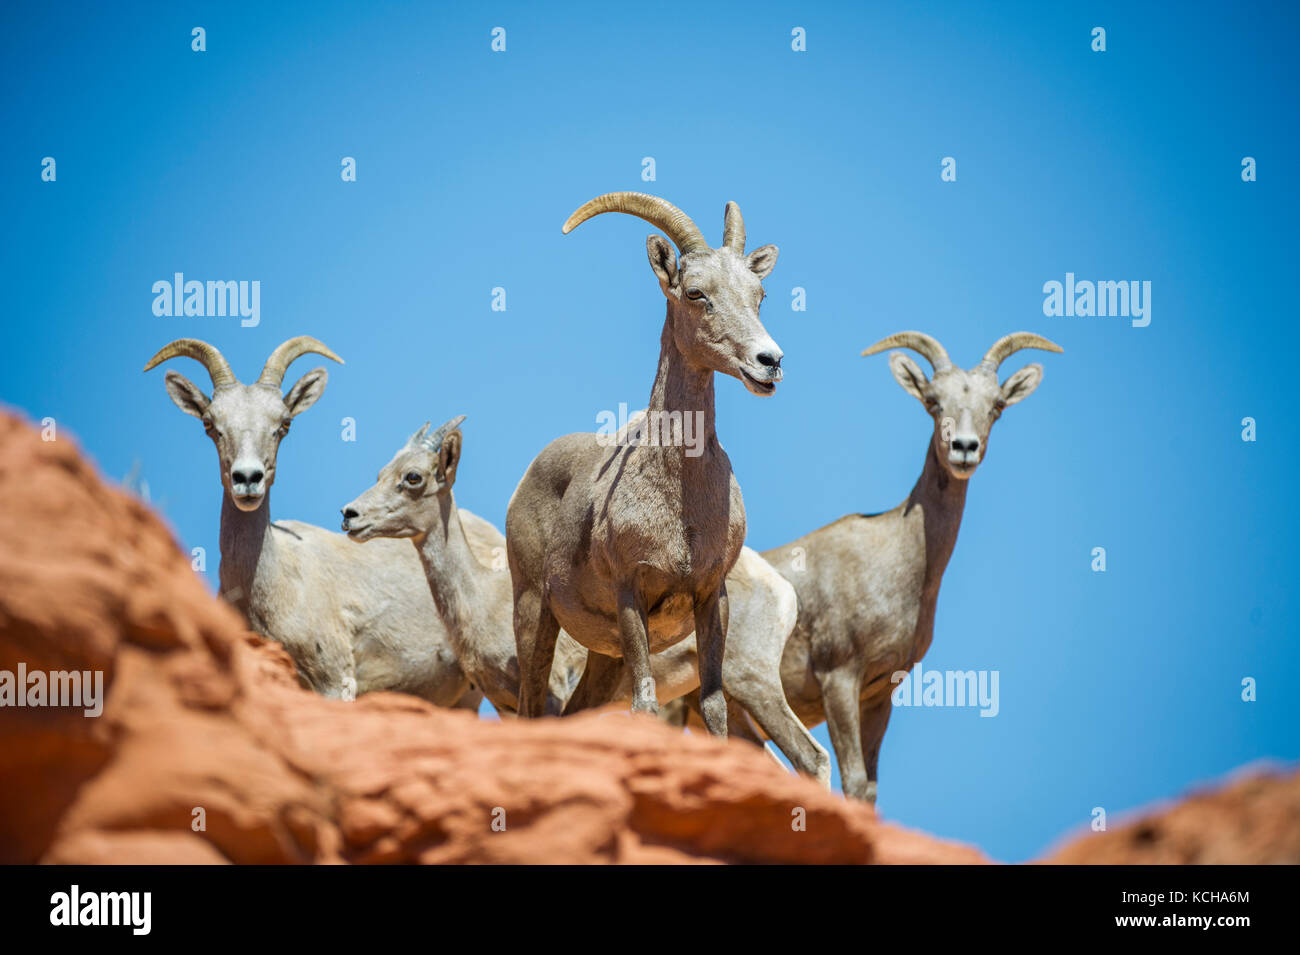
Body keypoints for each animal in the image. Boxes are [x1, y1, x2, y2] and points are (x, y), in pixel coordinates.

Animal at [504, 191, 780, 738]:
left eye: (758, 294)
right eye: (695, 293)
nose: (770, 361)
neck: (681, 501)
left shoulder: (711, 597)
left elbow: (713, 707)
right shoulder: (631, 592)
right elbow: (645, 706)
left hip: (602, 656)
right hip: (534, 614)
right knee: (529, 709)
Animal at [759, 332, 1055, 805]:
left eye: (996, 405)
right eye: (933, 401)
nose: (964, 448)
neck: (897, 562)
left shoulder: (880, 694)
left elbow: (868, 789)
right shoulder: (838, 679)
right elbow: (852, 781)